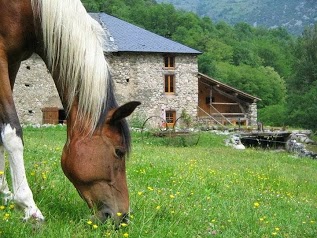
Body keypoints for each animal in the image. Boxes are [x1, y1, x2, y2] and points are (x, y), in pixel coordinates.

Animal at [0, 0, 139, 224]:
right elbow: (12, 133)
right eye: (119, 151)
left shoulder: (12, 61)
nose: (123, 217)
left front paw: (4, 194)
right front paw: (29, 207)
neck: (29, 9)